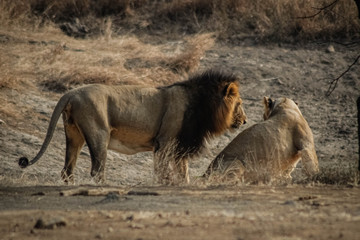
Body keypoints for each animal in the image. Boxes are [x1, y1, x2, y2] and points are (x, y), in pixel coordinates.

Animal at [19, 69, 248, 184]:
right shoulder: (164, 143)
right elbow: (162, 170)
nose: (245, 121)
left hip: (74, 135)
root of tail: (70, 93)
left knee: (67, 170)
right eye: (240, 104)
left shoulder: (179, 147)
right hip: (99, 135)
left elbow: (184, 173)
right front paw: (163, 185)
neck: (201, 104)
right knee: (97, 170)